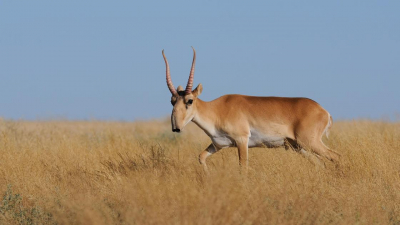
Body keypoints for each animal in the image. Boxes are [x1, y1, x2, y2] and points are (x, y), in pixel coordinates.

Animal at [162, 47, 340, 171]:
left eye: (189, 100)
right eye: (172, 101)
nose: (176, 127)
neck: (216, 110)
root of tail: (324, 111)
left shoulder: (242, 141)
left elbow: (243, 167)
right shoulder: (218, 145)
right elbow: (201, 157)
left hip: (309, 142)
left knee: (335, 156)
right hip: (299, 147)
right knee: (320, 164)